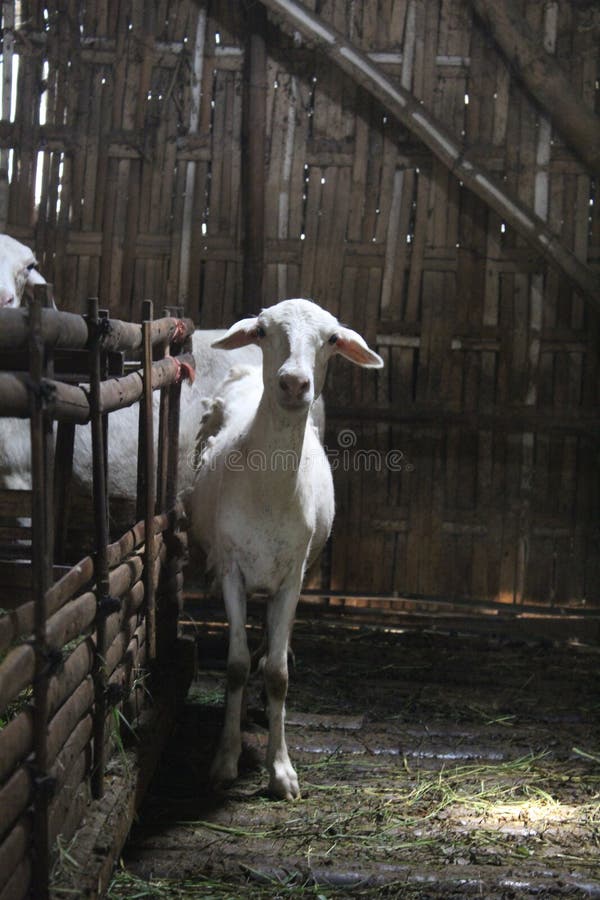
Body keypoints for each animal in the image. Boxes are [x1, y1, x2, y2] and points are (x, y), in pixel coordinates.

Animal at [189, 298, 383, 800]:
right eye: (261, 330)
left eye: (332, 339)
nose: (294, 383)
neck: (269, 489)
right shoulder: (232, 569)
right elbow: (236, 665)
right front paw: (225, 758)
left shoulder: (292, 576)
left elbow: (277, 673)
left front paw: (281, 772)